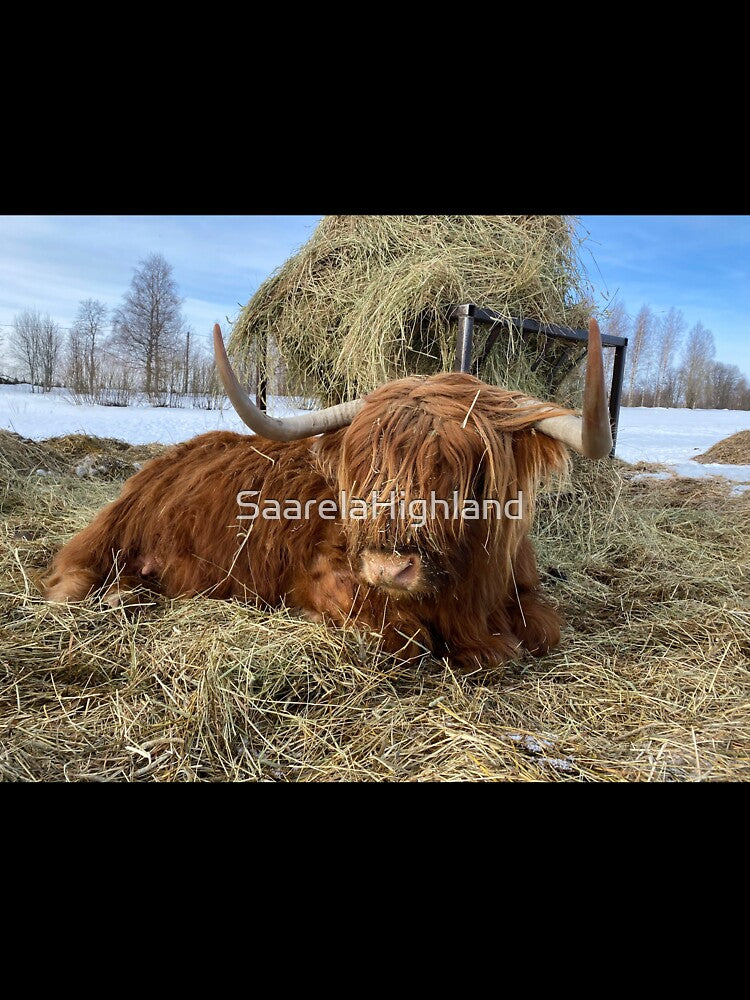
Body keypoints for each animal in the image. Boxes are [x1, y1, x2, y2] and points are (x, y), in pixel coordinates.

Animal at [41, 319, 612, 672]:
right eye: (363, 468)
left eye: (459, 471)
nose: (388, 568)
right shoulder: (328, 577)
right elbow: (404, 639)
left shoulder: (522, 590)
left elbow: (544, 629)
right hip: (111, 535)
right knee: (70, 576)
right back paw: (111, 597)